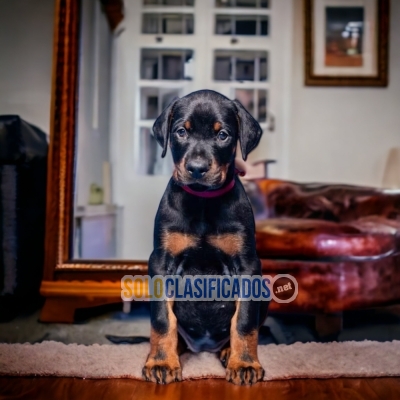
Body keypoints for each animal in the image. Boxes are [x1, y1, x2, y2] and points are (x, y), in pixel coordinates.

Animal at [141, 90, 268, 384]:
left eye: (223, 135)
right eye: (180, 132)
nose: (197, 168)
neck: (203, 202)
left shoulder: (248, 265)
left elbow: (244, 320)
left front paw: (245, 364)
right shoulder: (161, 262)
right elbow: (162, 319)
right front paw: (161, 362)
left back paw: (228, 352)